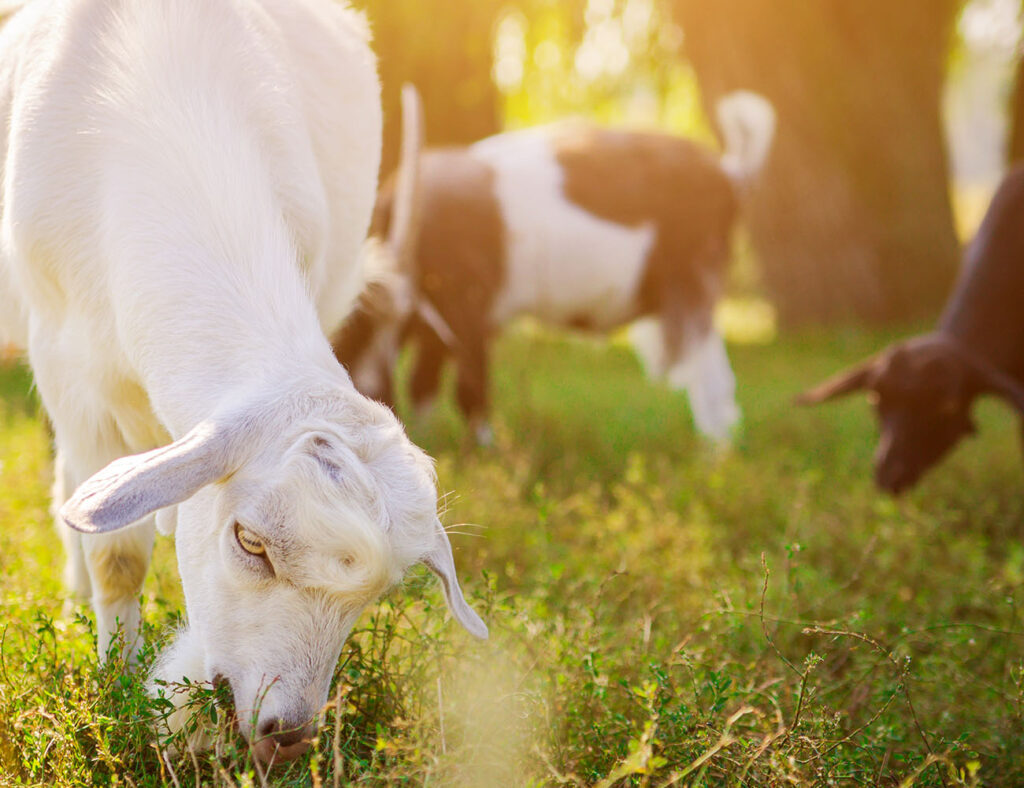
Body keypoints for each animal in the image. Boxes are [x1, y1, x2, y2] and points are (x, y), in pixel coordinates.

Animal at [0, 0, 485, 761]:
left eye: (374, 597)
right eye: (249, 543)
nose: (287, 733)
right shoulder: (71, 369)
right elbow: (116, 557)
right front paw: (117, 689)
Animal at [335, 92, 774, 442]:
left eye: (357, 324)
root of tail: (730, 172)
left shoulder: (468, 311)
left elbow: (471, 390)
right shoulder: (439, 328)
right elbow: (424, 385)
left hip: (695, 284)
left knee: (713, 383)